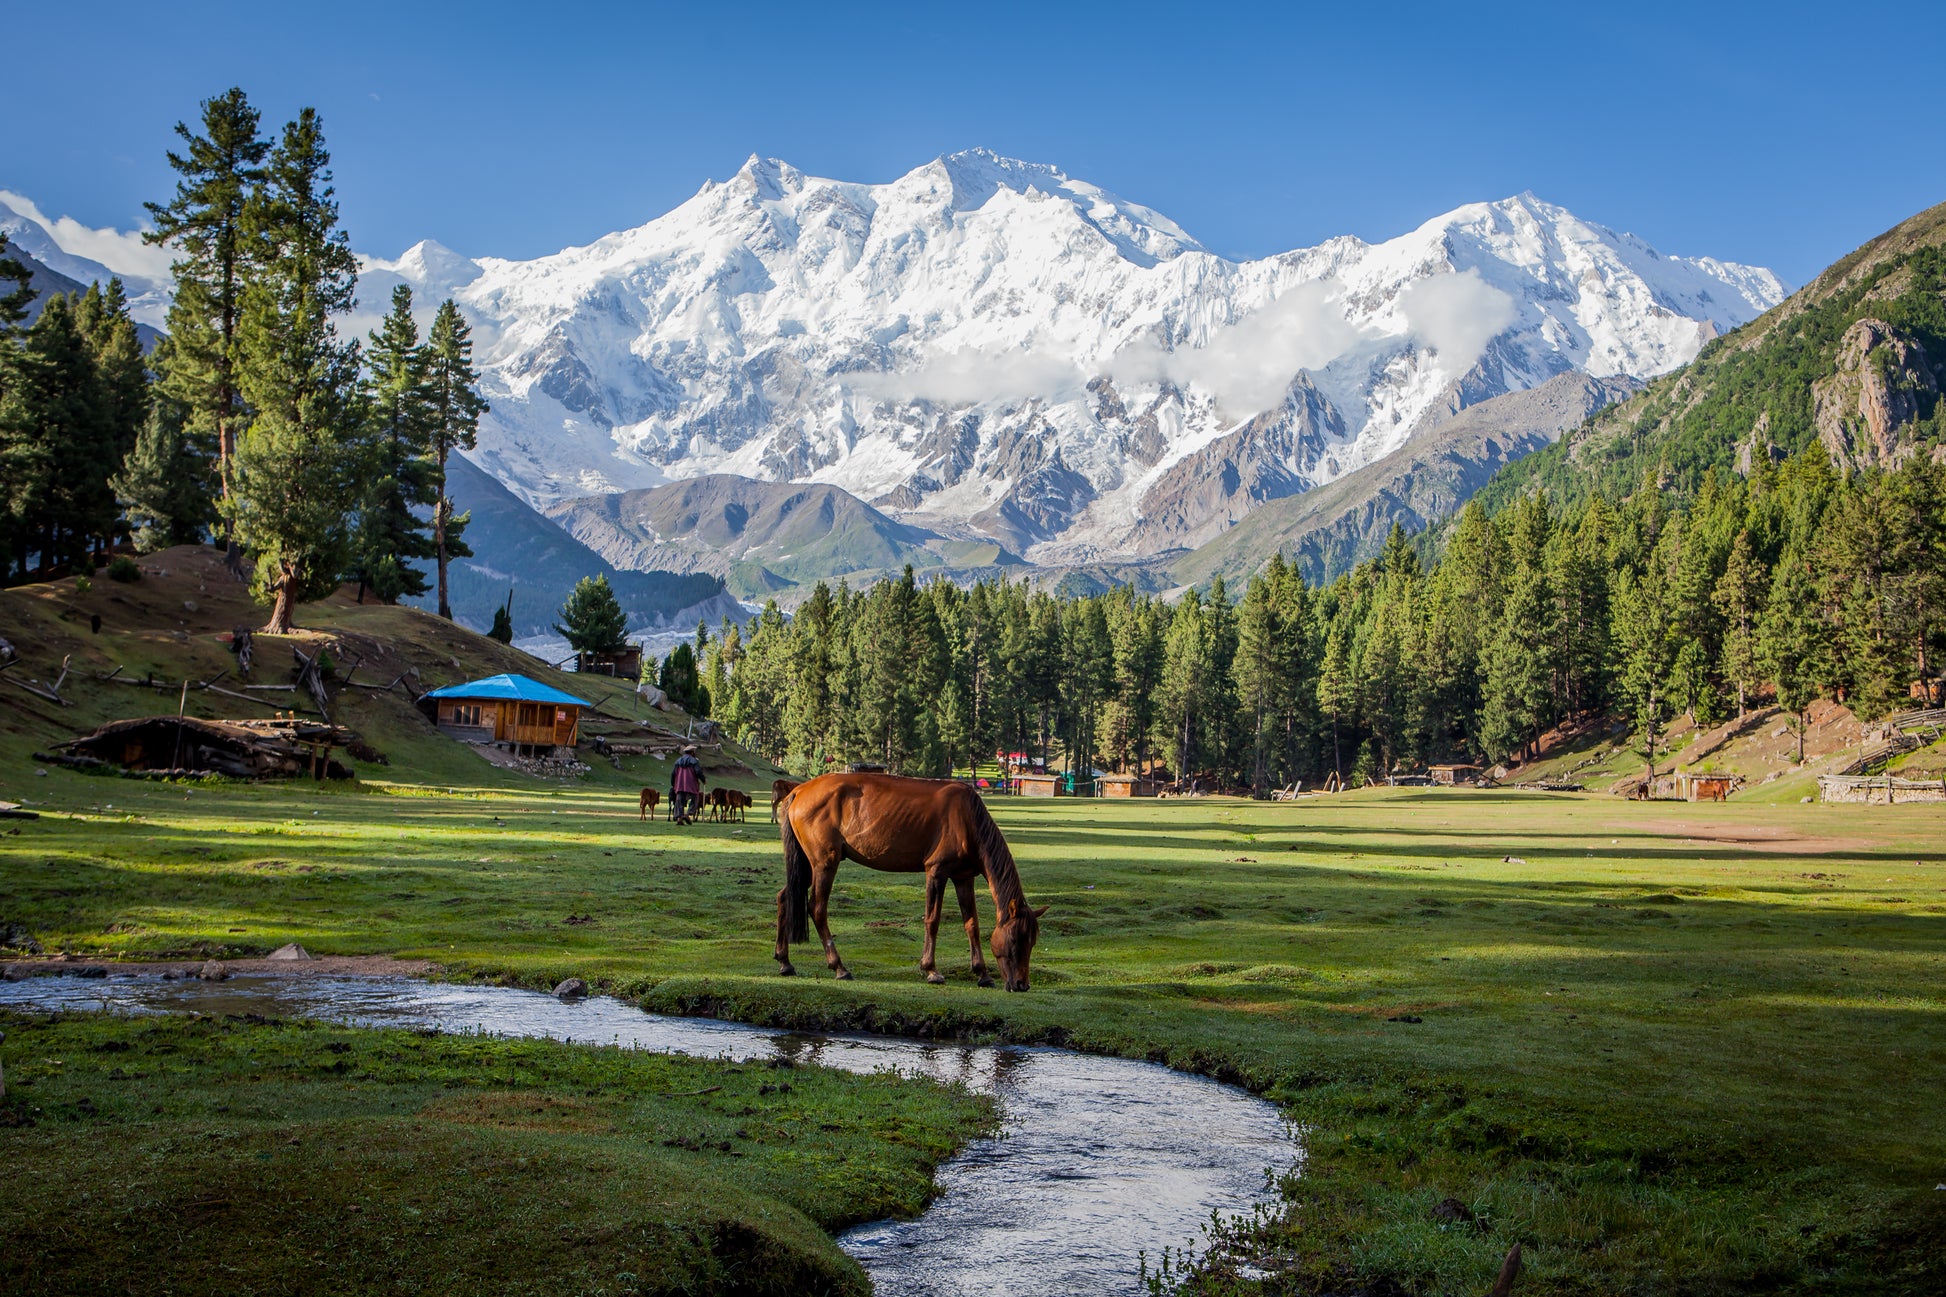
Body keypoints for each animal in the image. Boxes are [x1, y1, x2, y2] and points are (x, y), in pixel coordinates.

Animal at [774, 767, 1050, 989]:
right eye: (1014, 939)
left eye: (1032, 941)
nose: (1022, 984)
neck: (969, 820)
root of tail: (798, 790)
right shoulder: (936, 871)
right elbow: (932, 920)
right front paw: (931, 970)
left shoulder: (963, 877)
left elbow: (971, 924)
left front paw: (982, 973)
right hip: (824, 864)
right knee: (817, 908)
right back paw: (839, 967)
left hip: (806, 865)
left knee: (786, 897)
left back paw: (785, 961)